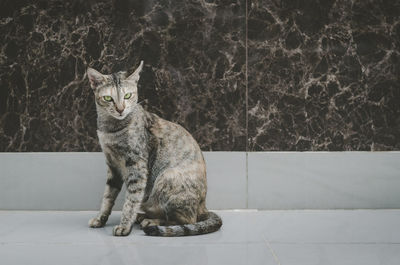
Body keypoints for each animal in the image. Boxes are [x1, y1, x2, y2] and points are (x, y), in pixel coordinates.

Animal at [86, 61, 222, 235]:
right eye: (108, 98)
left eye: (128, 96)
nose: (120, 109)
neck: (111, 130)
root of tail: (203, 206)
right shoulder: (112, 165)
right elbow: (107, 197)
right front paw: (100, 219)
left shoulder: (137, 165)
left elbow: (131, 199)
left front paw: (125, 225)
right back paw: (142, 217)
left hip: (167, 177)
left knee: (186, 220)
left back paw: (151, 221)